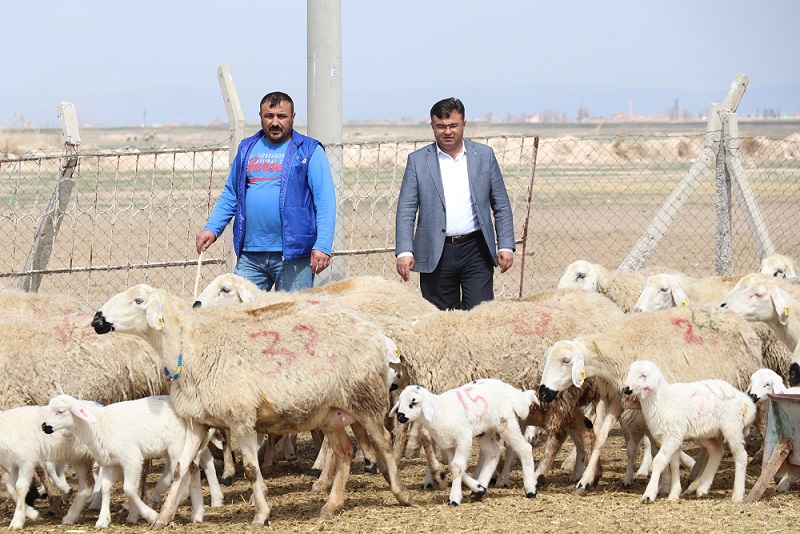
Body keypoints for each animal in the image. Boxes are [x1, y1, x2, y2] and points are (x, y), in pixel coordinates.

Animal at [41, 396, 219, 528]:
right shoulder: (109, 462)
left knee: (183, 476)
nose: (44, 426)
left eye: (60, 411)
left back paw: (168, 513)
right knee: (193, 470)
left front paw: (150, 515)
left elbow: (128, 489)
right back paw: (197, 513)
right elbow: (105, 488)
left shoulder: (131, 457)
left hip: (178, 446)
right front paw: (103, 520)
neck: (99, 425)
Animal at [90, 284, 410, 528]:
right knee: (344, 451)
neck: (190, 347)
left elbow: (252, 471)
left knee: (384, 440)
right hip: (330, 411)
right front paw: (163, 517)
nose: (97, 320)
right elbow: (181, 468)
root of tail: (372, 329)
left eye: (138, 300)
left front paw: (261, 515)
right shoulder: (197, 421)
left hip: (365, 398)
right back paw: (331, 505)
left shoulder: (241, 419)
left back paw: (400, 492)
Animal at [388, 382, 536, 506]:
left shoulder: (463, 438)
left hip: (506, 423)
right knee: (493, 453)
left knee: (524, 448)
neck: (438, 411)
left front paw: (453, 499)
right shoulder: (448, 444)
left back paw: (530, 489)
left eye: (414, 402)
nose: (400, 416)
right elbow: (453, 465)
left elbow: (457, 466)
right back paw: (480, 489)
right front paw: (478, 488)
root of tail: (514, 392)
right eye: (400, 401)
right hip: (485, 431)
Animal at [620, 362, 756, 504]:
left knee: (741, 455)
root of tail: (744, 399)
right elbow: (674, 464)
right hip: (707, 432)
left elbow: (658, 461)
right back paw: (702, 488)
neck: (663, 400)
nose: (626, 388)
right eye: (630, 372)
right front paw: (674, 494)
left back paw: (737, 495)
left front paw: (648, 495)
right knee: (717, 451)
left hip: (732, 427)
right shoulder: (673, 436)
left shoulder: (672, 436)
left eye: (643, 375)